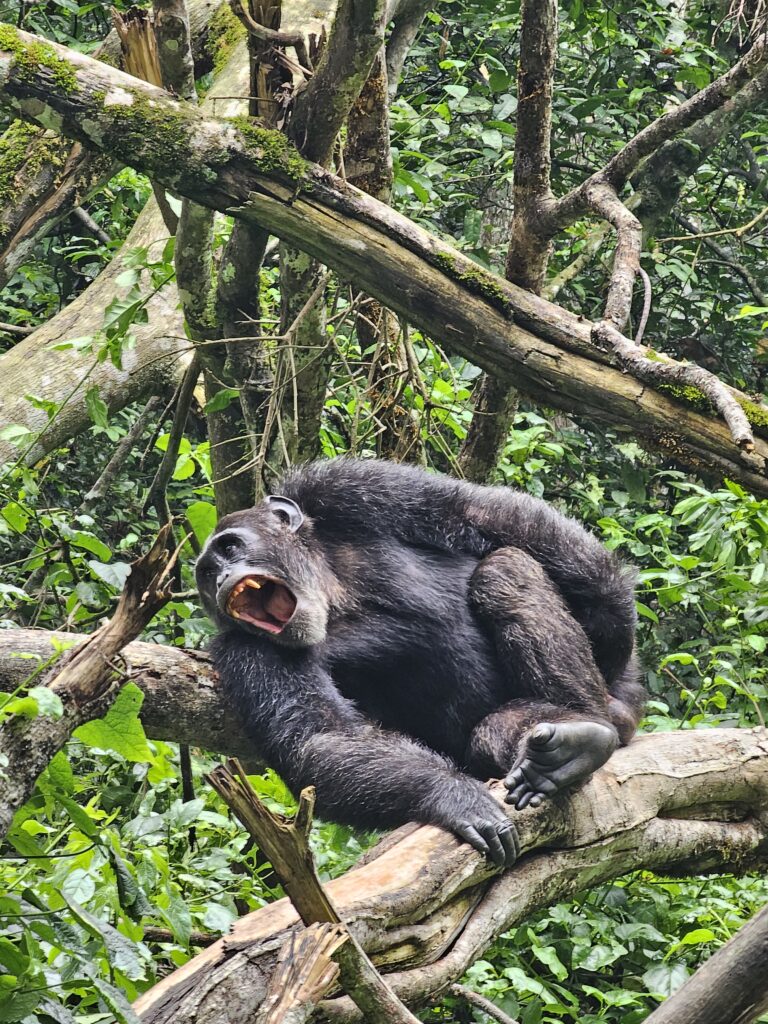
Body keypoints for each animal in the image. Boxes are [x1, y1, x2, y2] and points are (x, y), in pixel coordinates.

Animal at [196, 460, 643, 868]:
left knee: (504, 567)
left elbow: (488, 515)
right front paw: (452, 795)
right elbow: (320, 738)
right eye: (206, 574)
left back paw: (587, 727)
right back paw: (558, 756)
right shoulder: (245, 652)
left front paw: (614, 640)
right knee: (492, 732)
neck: (329, 590)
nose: (221, 578)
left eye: (229, 548)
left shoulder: (347, 486)